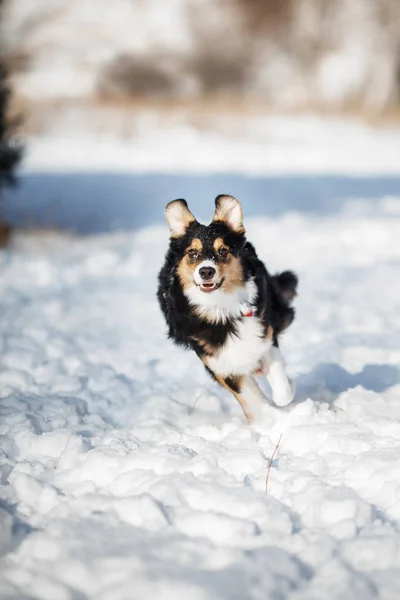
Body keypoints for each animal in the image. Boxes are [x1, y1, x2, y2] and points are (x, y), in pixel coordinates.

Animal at [158, 197, 298, 422]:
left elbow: (282, 390)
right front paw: (264, 418)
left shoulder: (263, 334)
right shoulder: (218, 363)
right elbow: (249, 396)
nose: (206, 271)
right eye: (192, 253)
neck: (221, 308)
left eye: (222, 251)